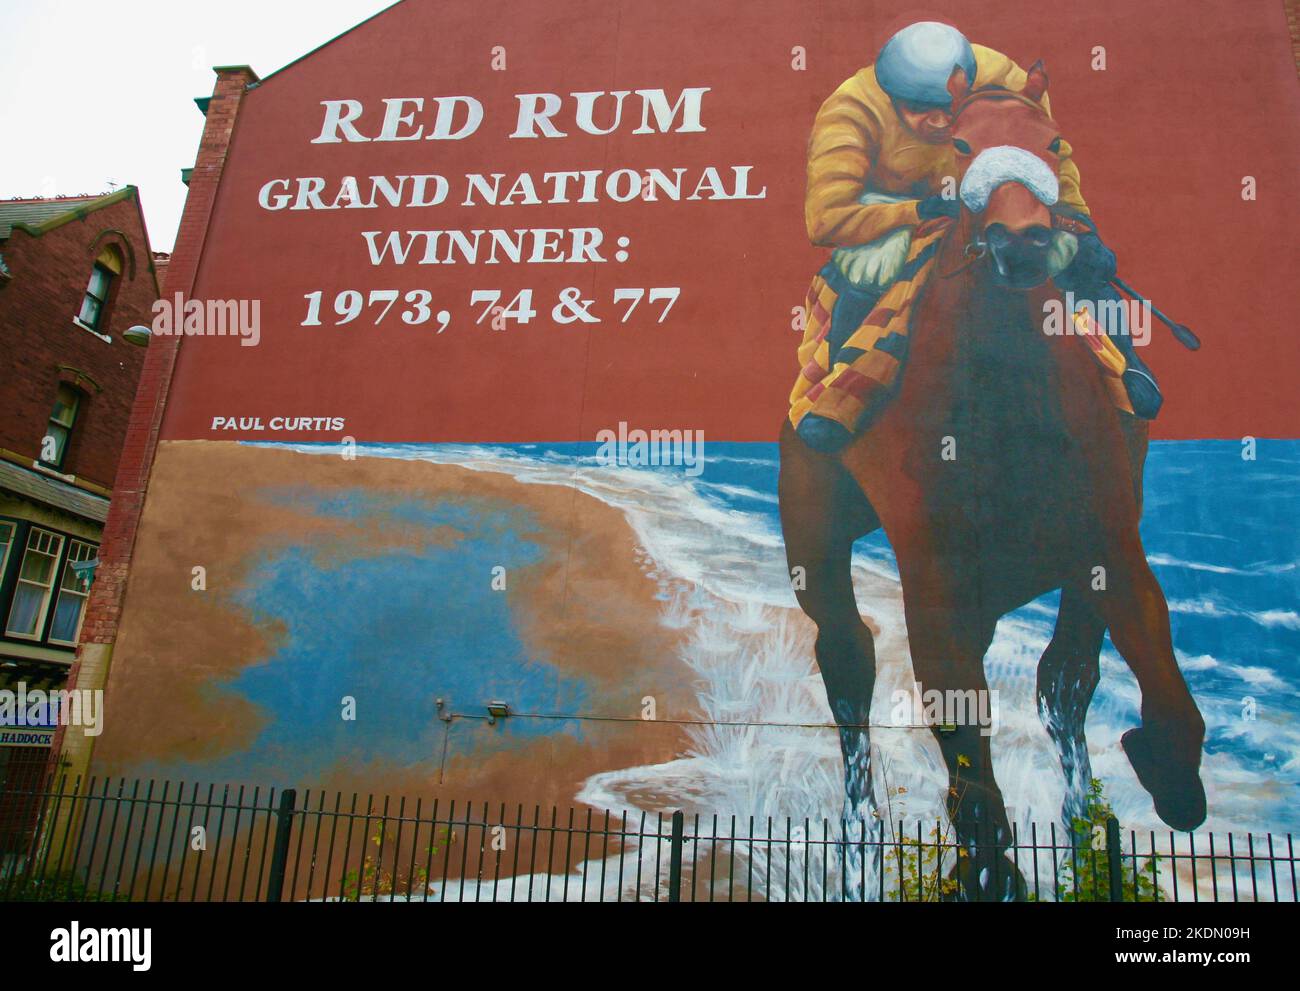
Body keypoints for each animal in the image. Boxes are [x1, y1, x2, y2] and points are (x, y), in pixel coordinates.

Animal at [774, 59, 1201, 894]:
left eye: (1055, 141)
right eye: (963, 144)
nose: (1022, 240)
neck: (1004, 395)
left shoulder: (1106, 540)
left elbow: (1150, 688)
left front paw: (1161, 778)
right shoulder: (935, 578)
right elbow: (968, 763)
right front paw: (987, 866)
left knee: (1065, 680)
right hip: (814, 521)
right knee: (846, 656)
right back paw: (860, 836)